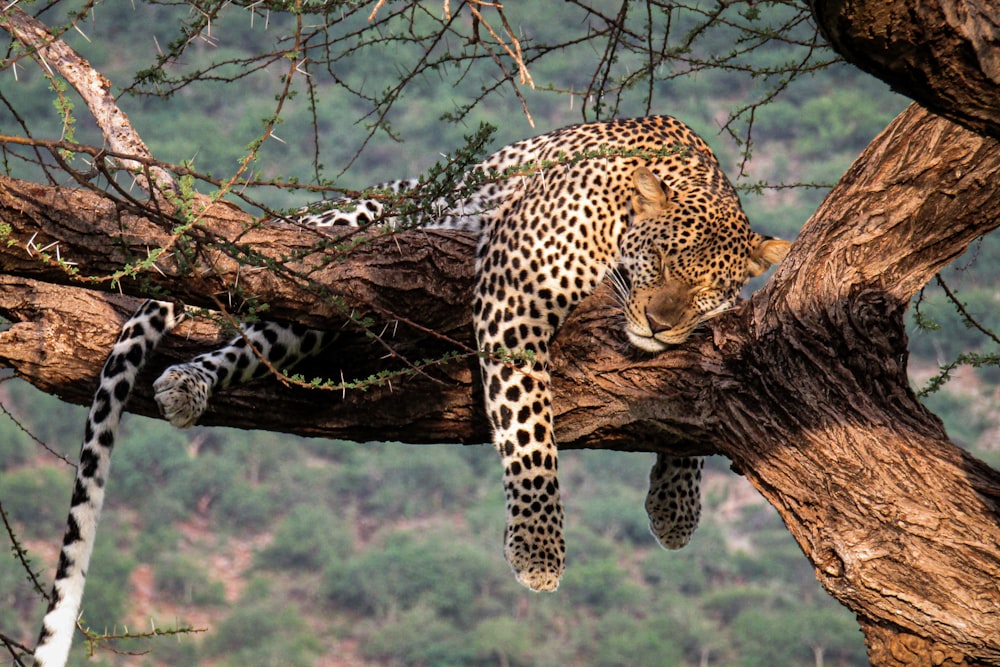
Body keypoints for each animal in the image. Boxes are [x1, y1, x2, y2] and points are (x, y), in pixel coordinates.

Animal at [33, 116, 788, 667]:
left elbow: (688, 406)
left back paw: (190, 383)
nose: (660, 320)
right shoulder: (516, 292)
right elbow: (529, 429)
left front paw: (676, 504)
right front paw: (539, 548)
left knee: (266, 338)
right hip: (344, 249)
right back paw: (190, 377)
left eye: (708, 288)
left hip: (316, 316)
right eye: (659, 258)